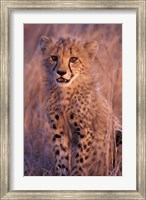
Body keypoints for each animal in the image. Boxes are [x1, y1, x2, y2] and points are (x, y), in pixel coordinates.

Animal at [38, 35, 121, 176]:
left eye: (73, 59)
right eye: (54, 58)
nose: (61, 72)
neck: (65, 92)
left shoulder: (86, 132)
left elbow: (80, 161)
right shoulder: (59, 131)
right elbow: (61, 159)